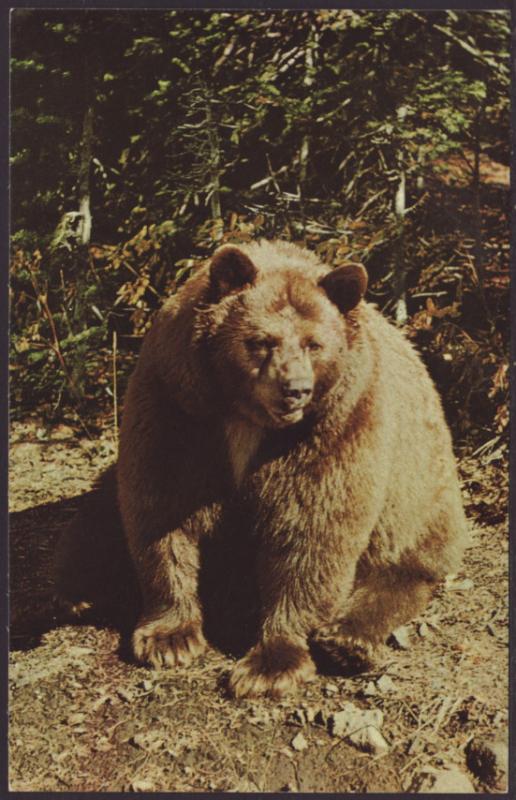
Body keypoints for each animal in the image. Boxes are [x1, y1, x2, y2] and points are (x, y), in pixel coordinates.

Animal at [54, 241, 466, 696]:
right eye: (261, 341)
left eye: (314, 344)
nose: (295, 389)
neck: (246, 418)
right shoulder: (177, 406)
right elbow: (161, 511)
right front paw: (169, 637)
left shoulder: (338, 425)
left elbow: (312, 533)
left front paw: (268, 665)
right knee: (96, 517)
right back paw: (83, 591)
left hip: (419, 491)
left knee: (405, 562)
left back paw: (346, 641)